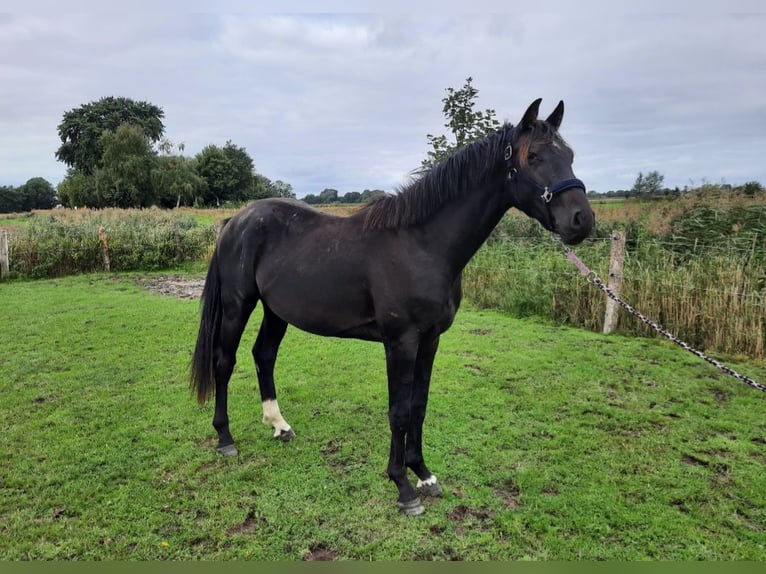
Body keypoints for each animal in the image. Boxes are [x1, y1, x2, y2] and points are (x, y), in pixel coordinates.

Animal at [190, 98, 595, 515]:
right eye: (534, 156)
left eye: (570, 156)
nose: (581, 220)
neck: (422, 245)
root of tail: (236, 220)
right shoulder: (401, 341)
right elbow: (398, 411)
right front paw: (403, 486)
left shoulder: (430, 340)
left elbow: (418, 404)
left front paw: (425, 474)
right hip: (238, 304)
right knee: (224, 361)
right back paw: (225, 439)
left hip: (276, 311)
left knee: (263, 355)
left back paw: (279, 426)